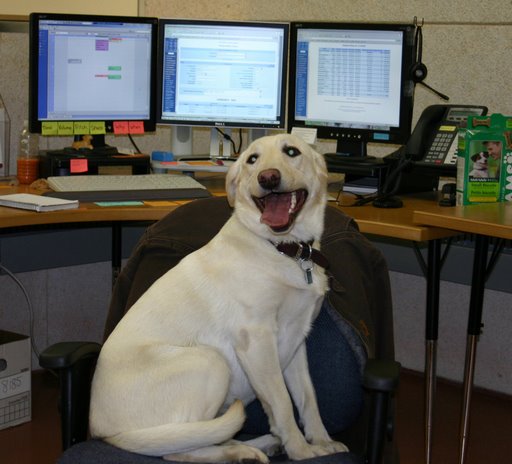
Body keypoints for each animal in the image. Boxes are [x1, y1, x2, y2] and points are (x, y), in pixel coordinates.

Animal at [89, 133, 348, 462]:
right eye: (252, 159)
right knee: (178, 448)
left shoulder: (296, 342)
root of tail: (104, 432)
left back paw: (259, 445)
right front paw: (301, 451)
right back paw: (244, 451)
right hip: (209, 360)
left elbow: (307, 400)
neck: (285, 249)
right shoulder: (256, 341)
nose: (268, 178)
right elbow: (283, 403)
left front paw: (322, 442)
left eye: (292, 151)